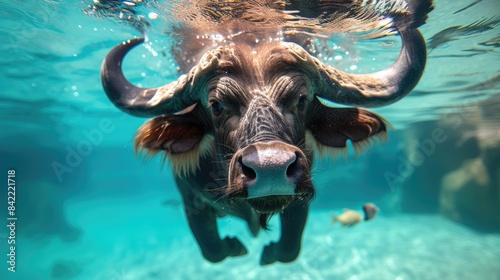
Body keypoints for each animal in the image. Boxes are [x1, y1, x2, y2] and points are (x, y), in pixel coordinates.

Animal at [99, 0, 432, 264]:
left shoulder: (300, 203)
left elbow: (289, 250)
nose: (271, 169)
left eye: (301, 99)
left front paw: (271, 253)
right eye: (217, 105)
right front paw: (234, 247)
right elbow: (212, 250)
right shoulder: (190, 199)